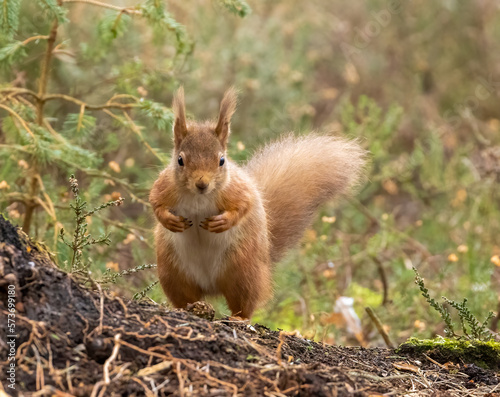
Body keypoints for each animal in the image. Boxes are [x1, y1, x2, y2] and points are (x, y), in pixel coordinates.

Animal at [150, 87, 366, 318]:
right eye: (180, 160)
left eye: (222, 160)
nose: (202, 184)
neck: (199, 198)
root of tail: (211, 286)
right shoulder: (165, 186)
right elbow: (155, 202)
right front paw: (170, 221)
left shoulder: (237, 189)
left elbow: (245, 204)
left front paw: (223, 222)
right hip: (174, 273)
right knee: (184, 296)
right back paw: (187, 308)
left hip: (243, 272)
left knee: (244, 303)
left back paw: (238, 318)